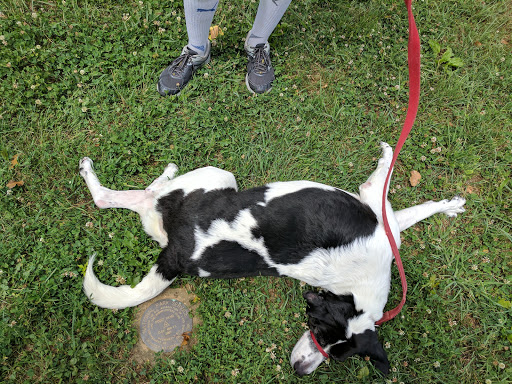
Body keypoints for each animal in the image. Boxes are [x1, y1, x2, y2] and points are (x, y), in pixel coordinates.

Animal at [78, 142, 466, 376]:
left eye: (335, 355)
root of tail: (177, 251)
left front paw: (449, 206)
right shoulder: (376, 207)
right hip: (213, 178)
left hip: (202, 190)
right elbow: (395, 189)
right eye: (315, 330)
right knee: (141, 195)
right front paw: (445, 202)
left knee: (132, 198)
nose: (299, 371)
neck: (355, 288)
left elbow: (410, 211)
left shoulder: (384, 223)